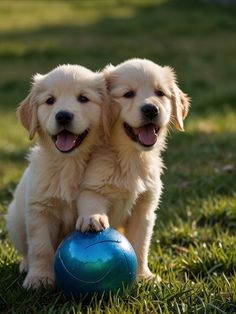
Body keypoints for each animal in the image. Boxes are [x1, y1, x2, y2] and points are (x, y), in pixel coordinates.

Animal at [6, 64, 108, 290]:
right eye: (50, 100)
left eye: (83, 98)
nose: (63, 116)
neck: (69, 163)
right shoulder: (39, 210)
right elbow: (40, 247)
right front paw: (39, 278)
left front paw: (92, 218)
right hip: (15, 219)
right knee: (26, 250)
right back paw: (26, 266)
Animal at [76, 58, 189, 280]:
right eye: (128, 94)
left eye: (160, 93)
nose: (151, 109)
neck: (132, 157)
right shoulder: (92, 183)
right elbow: (91, 198)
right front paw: (93, 218)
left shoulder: (144, 208)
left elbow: (140, 245)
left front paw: (144, 277)